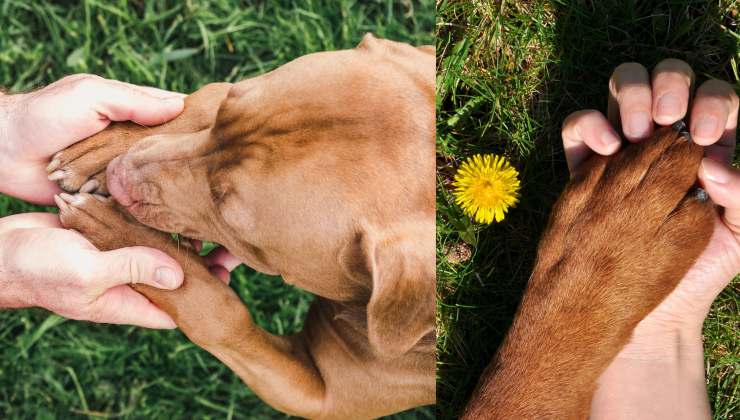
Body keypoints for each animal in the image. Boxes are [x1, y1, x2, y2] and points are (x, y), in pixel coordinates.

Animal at [47, 34, 440, 418]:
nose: (117, 174)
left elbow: (220, 315)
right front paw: (101, 151)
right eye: (224, 114)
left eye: (231, 221)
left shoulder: (314, 396)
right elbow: (203, 99)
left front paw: (119, 232)